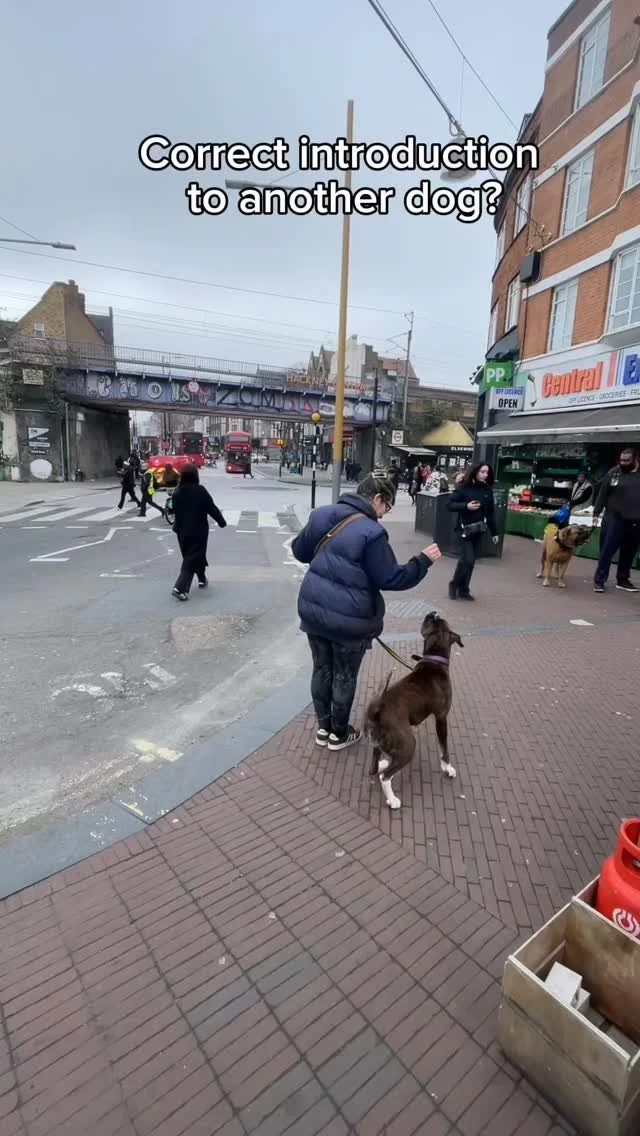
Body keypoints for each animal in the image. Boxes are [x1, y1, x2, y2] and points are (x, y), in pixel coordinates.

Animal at [365, 611, 463, 810]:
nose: (433, 612)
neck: (433, 661)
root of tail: (377, 713)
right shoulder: (441, 717)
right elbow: (444, 749)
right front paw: (447, 768)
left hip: (378, 744)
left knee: (374, 768)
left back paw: (382, 764)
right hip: (408, 745)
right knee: (384, 777)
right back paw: (393, 800)